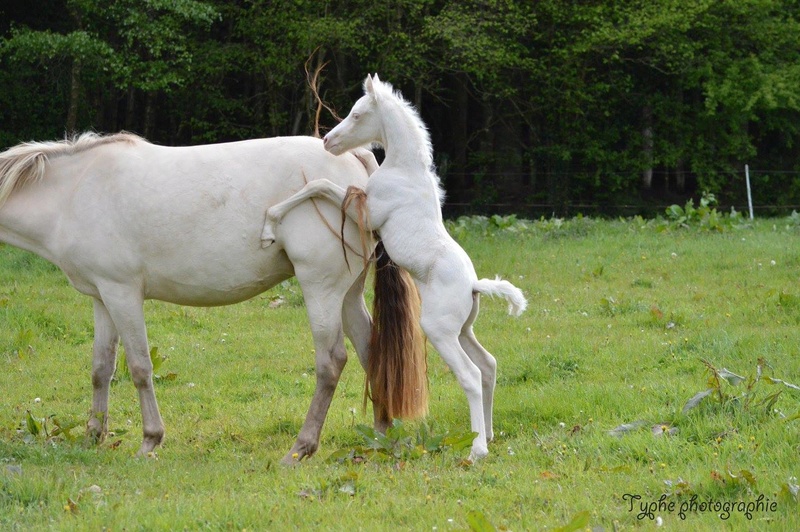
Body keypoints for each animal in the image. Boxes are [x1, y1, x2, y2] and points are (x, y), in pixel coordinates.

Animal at [0, 132, 416, 462]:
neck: (75, 191)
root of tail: (355, 160)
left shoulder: (122, 294)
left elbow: (139, 368)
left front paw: (150, 441)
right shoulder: (103, 297)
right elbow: (102, 368)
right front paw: (93, 436)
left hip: (321, 288)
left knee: (331, 362)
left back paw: (301, 449)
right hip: (347, 294)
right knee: (371, 350)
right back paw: (381, 437)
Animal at [260, 72, 528, 460]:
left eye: (357, 114)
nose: (328, 140)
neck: (404, 169)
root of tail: (474, 285)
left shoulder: (369, 216)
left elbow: (319, 184)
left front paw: (269, 223)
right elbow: (321, 185)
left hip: (439, 330)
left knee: (470, 375)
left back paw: (477, 449)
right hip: (463, 330)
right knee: (488, 365)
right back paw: (488, 434)